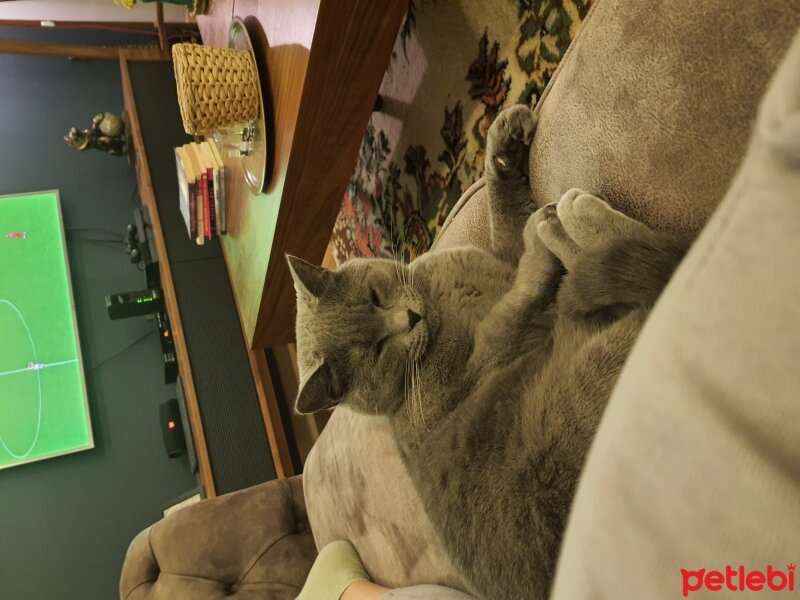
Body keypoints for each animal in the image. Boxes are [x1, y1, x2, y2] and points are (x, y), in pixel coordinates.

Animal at [290, 105, 692, 596]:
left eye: (373, 296)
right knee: (657, 266)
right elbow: (513, 303)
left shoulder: (500, 259)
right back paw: (569, 216)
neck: (436, 298)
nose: (409, 319)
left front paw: (505, 142)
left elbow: (506, 219)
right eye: (377, 348)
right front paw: (541, 238)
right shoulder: (487, 353)